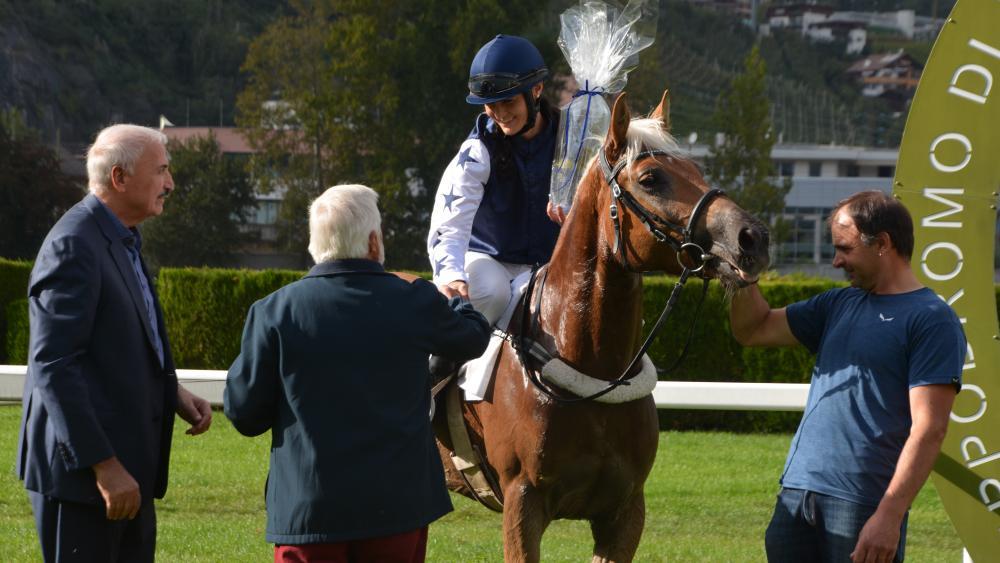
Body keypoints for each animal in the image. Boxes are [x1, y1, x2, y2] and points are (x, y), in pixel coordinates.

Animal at [434, 90, 768, 560]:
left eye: (698, 171)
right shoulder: (522, 503)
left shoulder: (624, 512)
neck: (593, 367)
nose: (752, 237)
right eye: (650, 179)